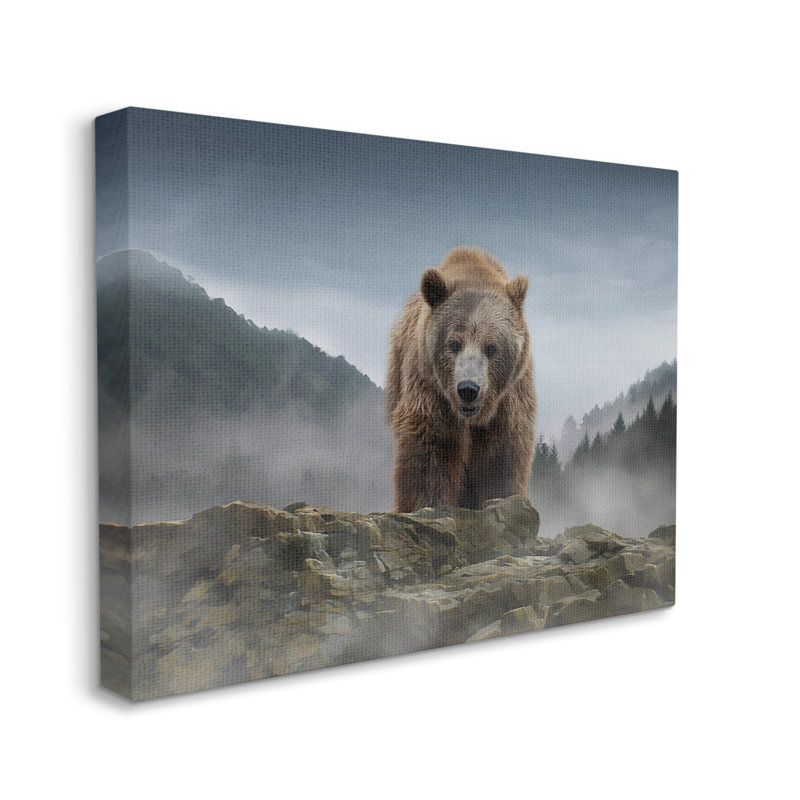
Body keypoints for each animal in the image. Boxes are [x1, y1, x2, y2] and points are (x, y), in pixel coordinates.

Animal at [387, 247, 536, 512]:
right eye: (454, 343)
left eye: (491, 347)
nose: (468, 389)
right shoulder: (430, 387)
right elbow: (432, 449)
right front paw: (429, 504)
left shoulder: (510, 398)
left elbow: (503, 455)